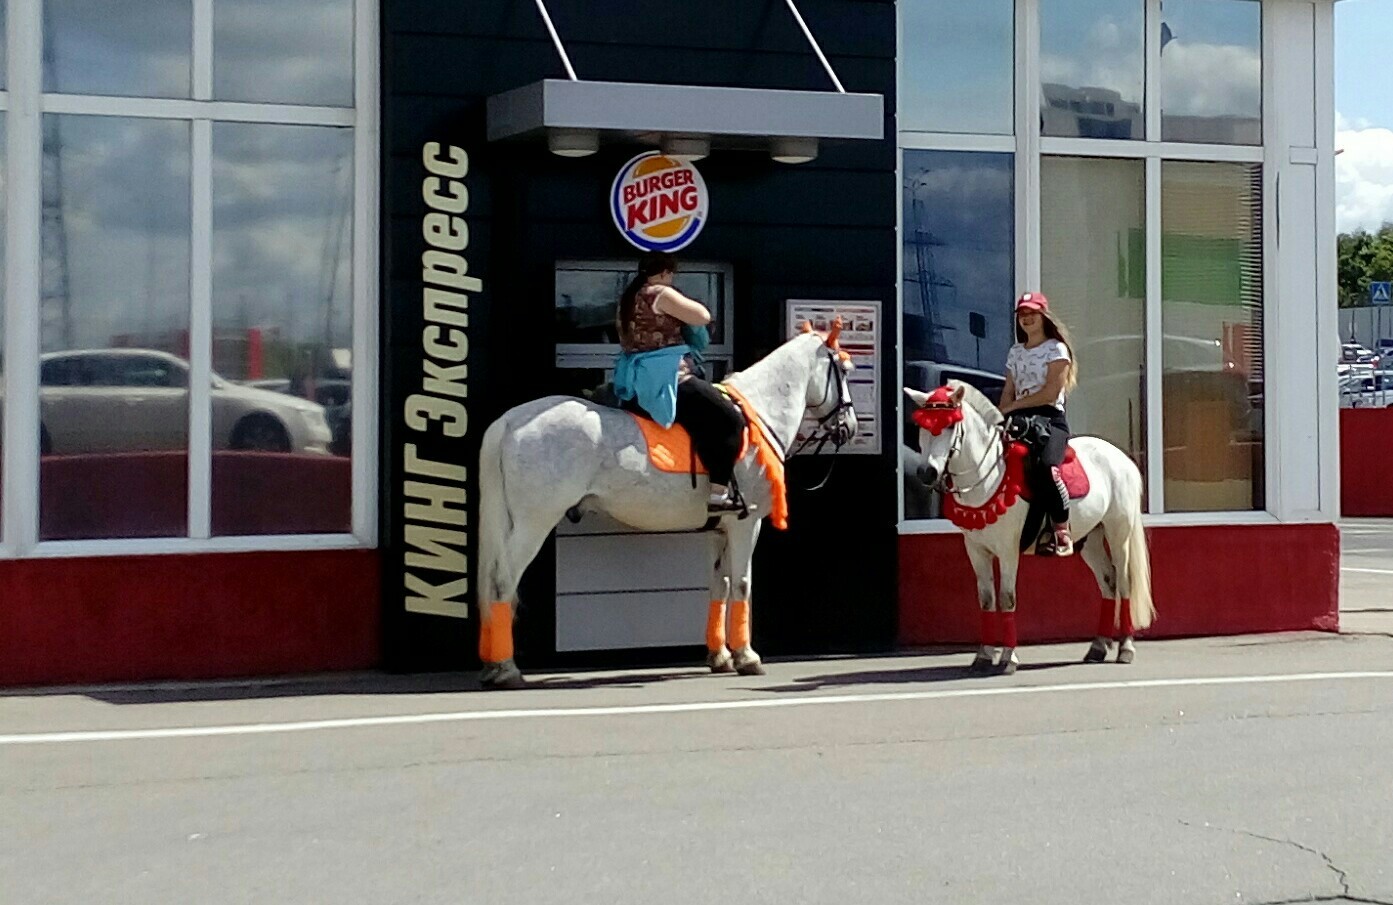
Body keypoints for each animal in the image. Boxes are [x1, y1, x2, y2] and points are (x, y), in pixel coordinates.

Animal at [473, 324, 852, 685]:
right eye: (844, 371)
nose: (849, 426)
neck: (759, 411)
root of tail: (510, 420)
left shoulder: (719, 529)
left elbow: (720, 584)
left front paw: (720, 657)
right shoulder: (747, 523)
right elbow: (742, 584)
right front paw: (747, 657)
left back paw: (493, 665)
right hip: (532, 524)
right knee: (502, 582)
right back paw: (506, 669)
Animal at [902, 378, 1153, 668]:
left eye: (951, 425)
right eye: (922, 426)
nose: (926, 473)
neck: (989, 476)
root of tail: (1123, 459)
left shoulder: (1008, 550)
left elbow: (1007, 598)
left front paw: (1008, 658)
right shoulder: (976, 550)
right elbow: (986, 600)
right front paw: (984, 655)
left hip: (1117, 532)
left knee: (1123, 583)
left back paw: (1126, 648)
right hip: (1089, 539)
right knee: (1108, 582)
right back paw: (1097, 647)